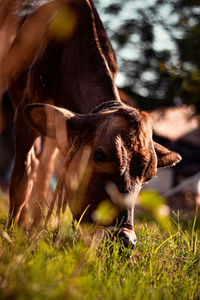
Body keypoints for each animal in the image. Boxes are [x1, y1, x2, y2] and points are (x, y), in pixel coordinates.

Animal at [0, 0, 181, 246]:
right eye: (99, 156)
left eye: (150, 175)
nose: (125, 239)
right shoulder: (23, 116)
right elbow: (21, 179)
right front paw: (10, 234)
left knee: (43, 169)